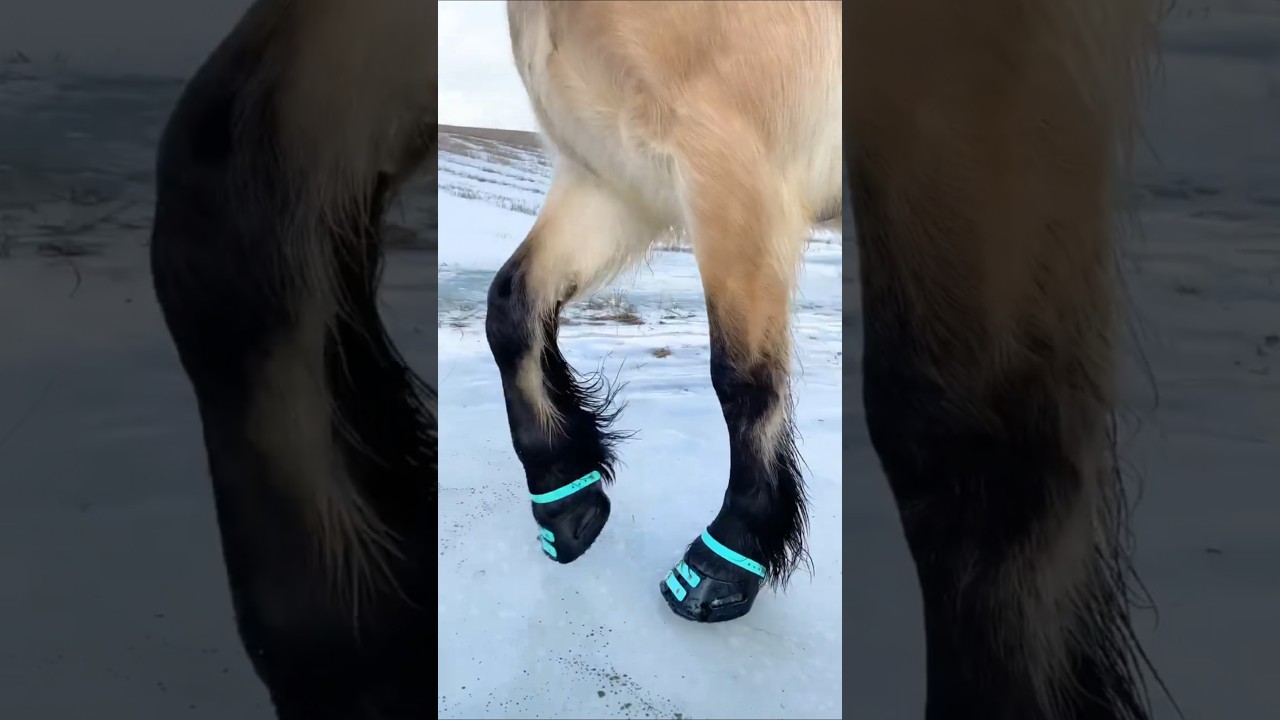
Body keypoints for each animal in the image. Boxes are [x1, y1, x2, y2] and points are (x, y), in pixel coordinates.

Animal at [496, 1, 1172, 719]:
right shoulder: (614, 179)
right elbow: (510, 309)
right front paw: (565, 498)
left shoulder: (752, 166)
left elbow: (752, 380)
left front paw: (728, 556)